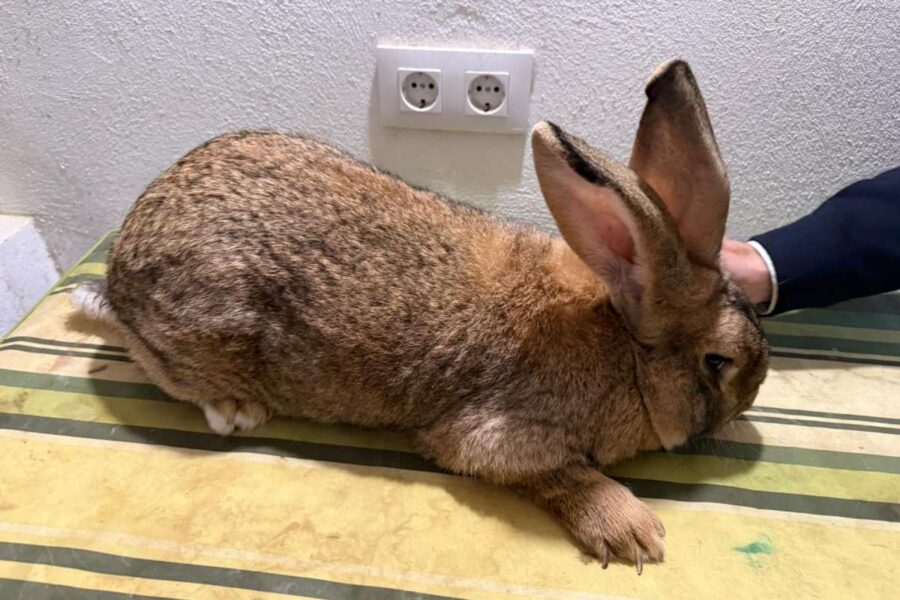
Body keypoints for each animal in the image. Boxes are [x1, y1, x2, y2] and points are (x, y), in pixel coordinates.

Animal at [72, 59, 768, 572]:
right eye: (718, 362)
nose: (751, 398)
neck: (622, 341)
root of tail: (123, 262)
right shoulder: (492, 437)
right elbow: (558, 473)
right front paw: (632, 531)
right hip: (198, 336)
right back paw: (232, 406)